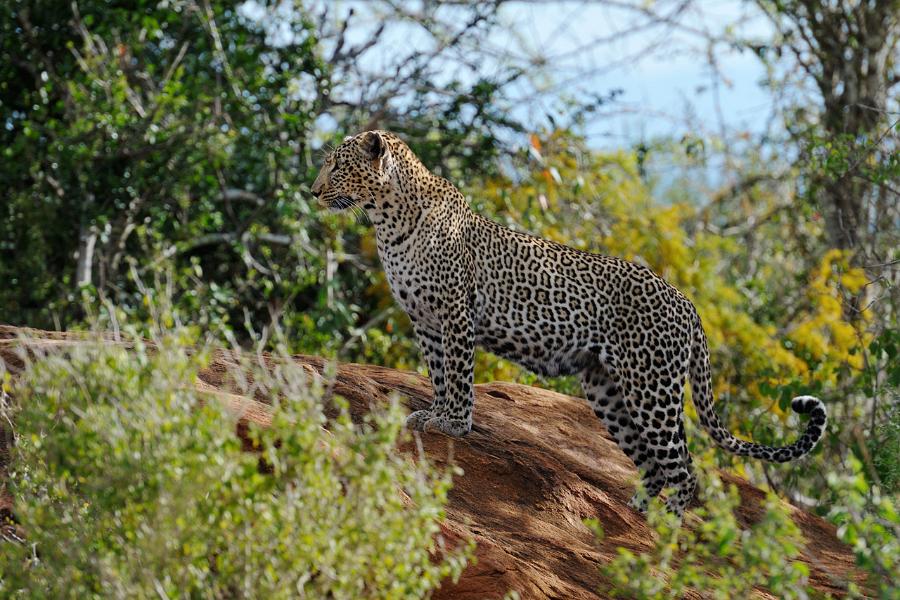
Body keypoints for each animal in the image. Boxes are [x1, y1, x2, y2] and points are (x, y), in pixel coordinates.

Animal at [312, 131, 828, 516]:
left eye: (336, 166)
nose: (314, 192)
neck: (388, 220)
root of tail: (688, 303)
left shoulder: (456, 314)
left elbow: (458, 376)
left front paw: (454, 424)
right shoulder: (425, 321)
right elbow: (439, 375)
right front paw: (433, 415)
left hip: (652, 386)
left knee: (685, 465)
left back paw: (667, 526)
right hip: (606, 388)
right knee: (654, 463)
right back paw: (637, 509)